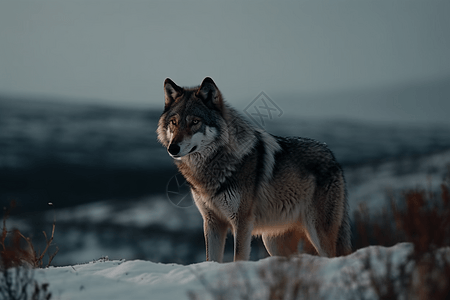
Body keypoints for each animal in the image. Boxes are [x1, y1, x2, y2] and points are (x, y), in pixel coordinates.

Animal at [157, 77, 352, 262]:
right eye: (174, 122)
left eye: (195, 122)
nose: (173, 148)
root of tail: (331, 155)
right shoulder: (212, 222)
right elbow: (210, 259)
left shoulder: (242, 222)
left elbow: (238, 257)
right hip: (272, 241)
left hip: (317, 233)